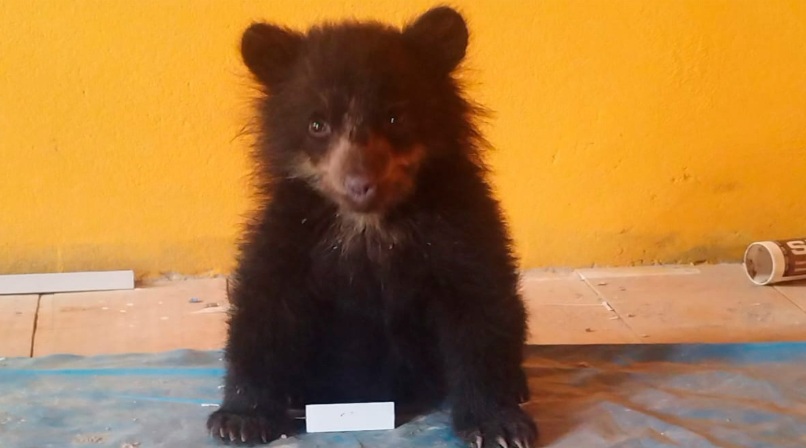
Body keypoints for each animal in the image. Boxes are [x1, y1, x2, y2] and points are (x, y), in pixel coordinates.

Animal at [207, 6, 538, 448]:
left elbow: (478, 305)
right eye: (317, 125)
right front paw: (240, 420)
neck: (370, 223)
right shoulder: (290, 229)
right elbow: (265, 304)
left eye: (395, 117)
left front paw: (498, 425)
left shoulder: (460, 224)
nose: (360, 184)